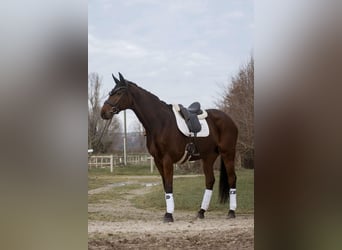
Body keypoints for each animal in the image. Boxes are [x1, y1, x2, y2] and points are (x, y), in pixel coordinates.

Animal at [99, 73, 238, 223]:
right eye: (110, 92)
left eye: (119, 93)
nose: (103, 112)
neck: (160, 122)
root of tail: (229, 119)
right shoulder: (158, 160)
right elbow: (165, 185)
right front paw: (168, 212)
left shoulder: (167, 159)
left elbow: (169, 185)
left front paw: (169, 215)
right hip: (208, 157)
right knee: (210, 181)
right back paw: (201, 212)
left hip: (228, 153)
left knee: (232, 178)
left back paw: (231, 212)